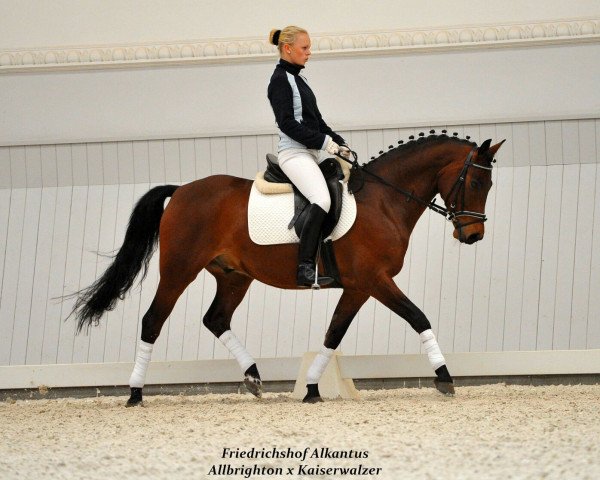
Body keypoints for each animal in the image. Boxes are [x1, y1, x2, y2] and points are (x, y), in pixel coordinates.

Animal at [68, 131, 504, 404]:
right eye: (476, 184)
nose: (473, 235)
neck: (384, 201)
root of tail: (180, 192)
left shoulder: (358, 287)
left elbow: (333, 333)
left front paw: (311, 388)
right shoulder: (374, 281)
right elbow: (417, 317)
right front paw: (445, 377)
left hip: (234, 276)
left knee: (216, 319)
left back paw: (253, 377)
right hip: (179, 271)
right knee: (153, 321)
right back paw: (135, 393)